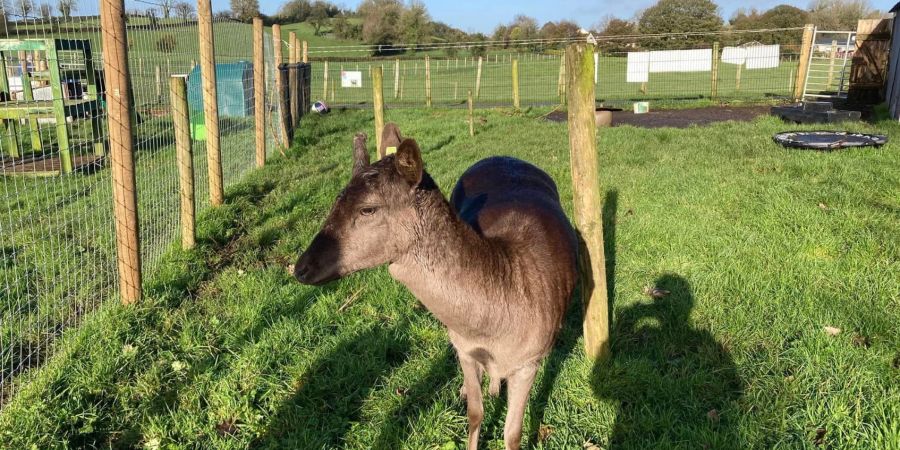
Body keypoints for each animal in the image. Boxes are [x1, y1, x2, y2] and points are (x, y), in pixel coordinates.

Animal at [296, 124, 576, 450]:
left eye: (368, 209)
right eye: (335, 200)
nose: (300, 267)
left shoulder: (531, 360)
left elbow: (513, 433)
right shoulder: (463, 347)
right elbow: (475, 413)